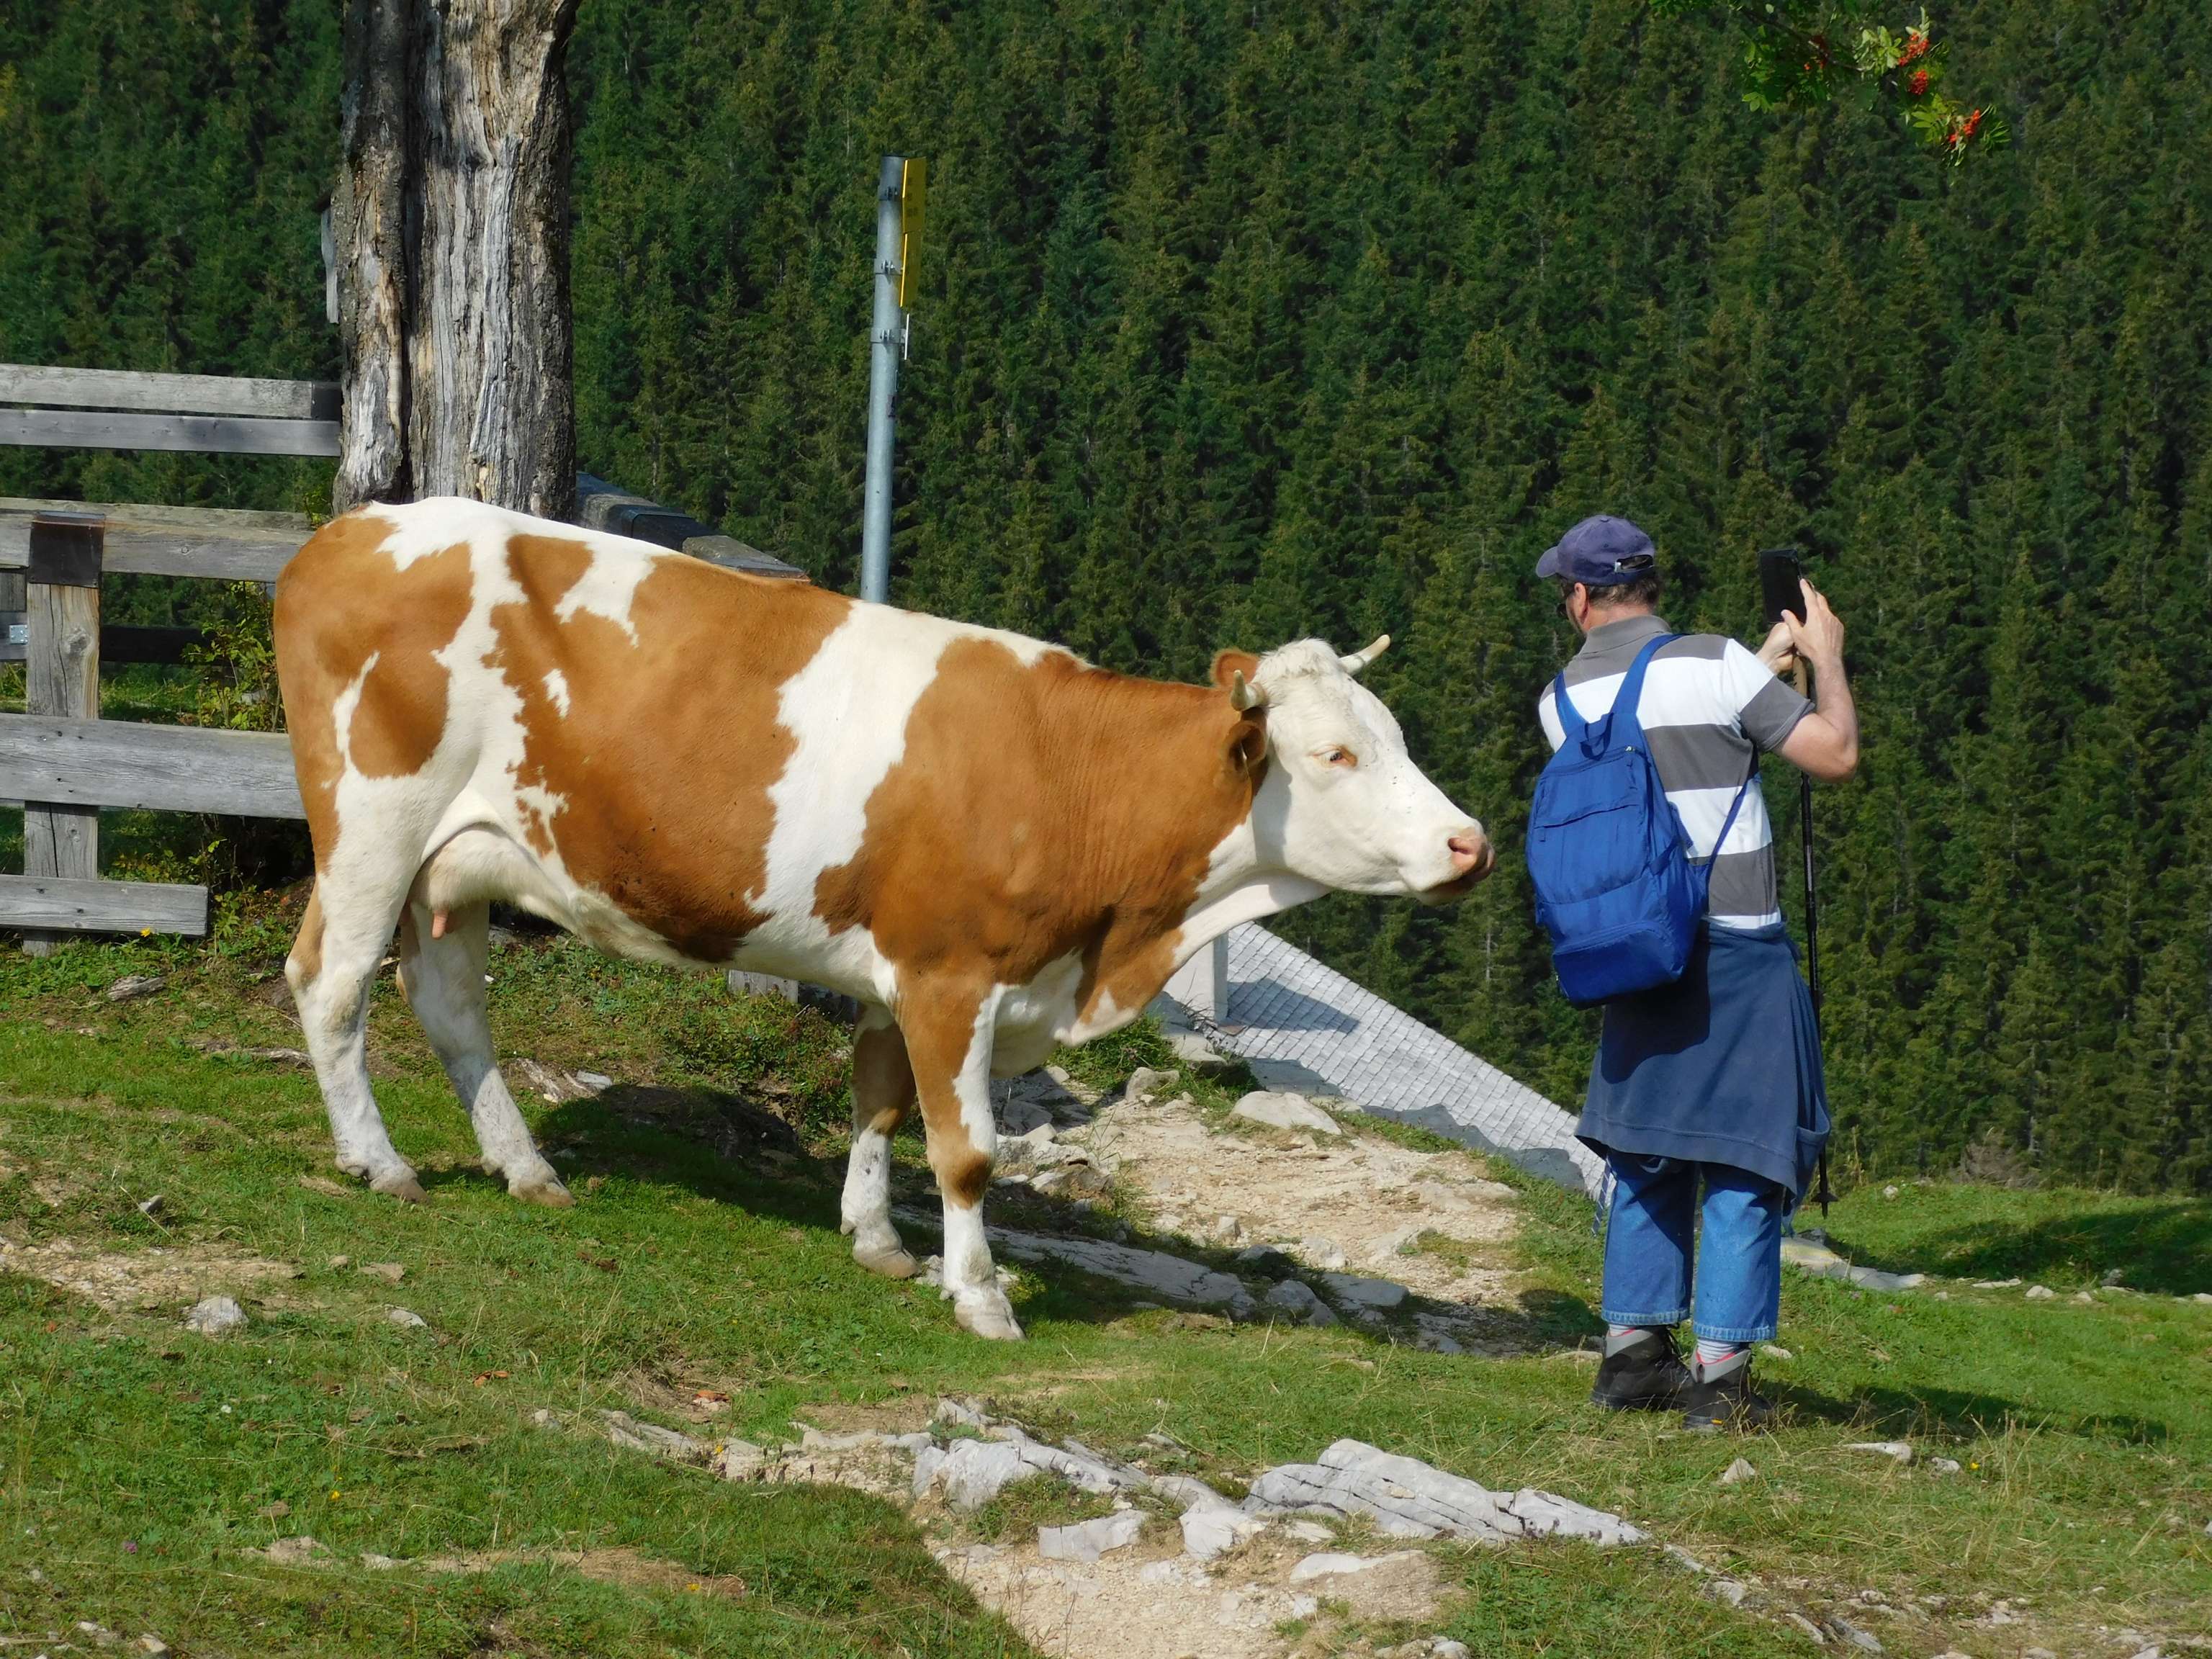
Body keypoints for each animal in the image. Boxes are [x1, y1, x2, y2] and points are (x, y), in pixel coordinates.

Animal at [272, 498, 1493, 1339]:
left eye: (1394, 735)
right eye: (1333, 755)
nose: (1469, 844)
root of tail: (355, 527)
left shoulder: (902, 966)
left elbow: (880, 1105)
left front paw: (873, 1239)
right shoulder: (955, 973)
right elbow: (967, 1150)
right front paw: (982, 1295)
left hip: (461, 864)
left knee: (450, 1008)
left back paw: (525, 1167)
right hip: (373, 825)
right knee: (330, 985)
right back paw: (378, 1162)